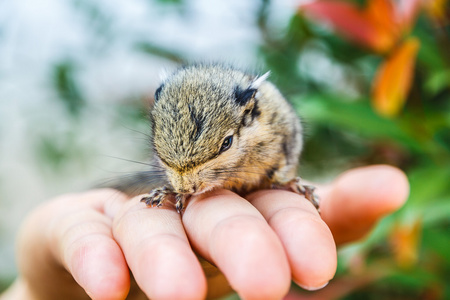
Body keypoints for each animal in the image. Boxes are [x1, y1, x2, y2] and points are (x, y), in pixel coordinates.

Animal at [112, 63, 320, 213]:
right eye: (155, 143)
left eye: (227, 143)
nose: (185, 188)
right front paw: (170, 192)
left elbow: (278, 175)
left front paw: (295, 185)